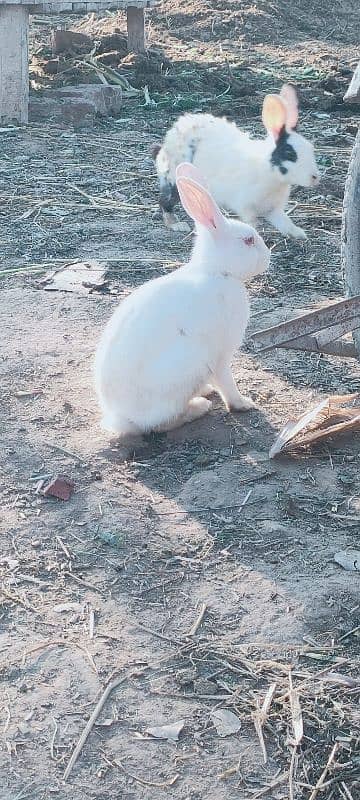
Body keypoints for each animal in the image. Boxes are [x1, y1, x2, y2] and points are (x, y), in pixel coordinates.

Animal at [95, 162, 270, 438]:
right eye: (249, 240)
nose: (267, 257)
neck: (217, 271)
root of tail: (119, 419)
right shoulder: (220, 355)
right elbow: (227, 382)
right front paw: (244, 404)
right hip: (189, 364)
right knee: (162, 423)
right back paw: (199, 406)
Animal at [153, 86, 320, 241]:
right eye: (290, 154)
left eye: (311, 148)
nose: (315, 177)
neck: (268, 172)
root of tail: (169, 140)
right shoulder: (246, 206)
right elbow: (251, 224)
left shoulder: (273, 209)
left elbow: (285, 222)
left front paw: (299, 234)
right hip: (174, 180)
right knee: (165, 202)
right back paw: (176, 224)